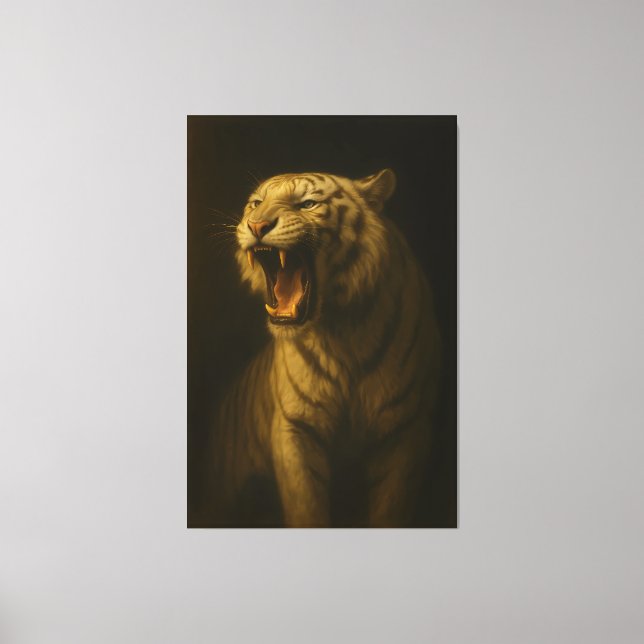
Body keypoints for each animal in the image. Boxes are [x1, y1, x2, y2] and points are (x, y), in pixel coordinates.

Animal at [212, 168, 441, 527]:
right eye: (256, 203)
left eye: (308, 204)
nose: (257, 225)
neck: (342, 332)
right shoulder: (295, 428)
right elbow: (306, 507)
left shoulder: (406, 429)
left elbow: (391, 507)